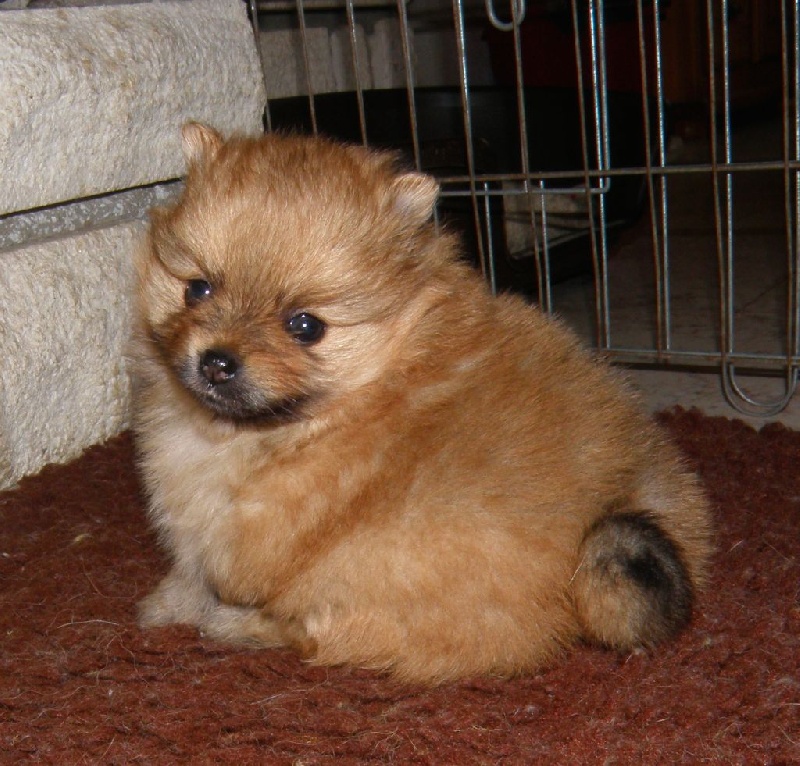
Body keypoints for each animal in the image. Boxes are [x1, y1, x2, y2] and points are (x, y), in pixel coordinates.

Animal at [133, 124, 712, 684]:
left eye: (305, 326)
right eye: (197, 289)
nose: (217, 362)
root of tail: (624, 499)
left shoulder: (249, 533)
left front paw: (193, 609)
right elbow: (190, 571)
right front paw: (165, 604)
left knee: (326, 635)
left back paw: (237, 626)